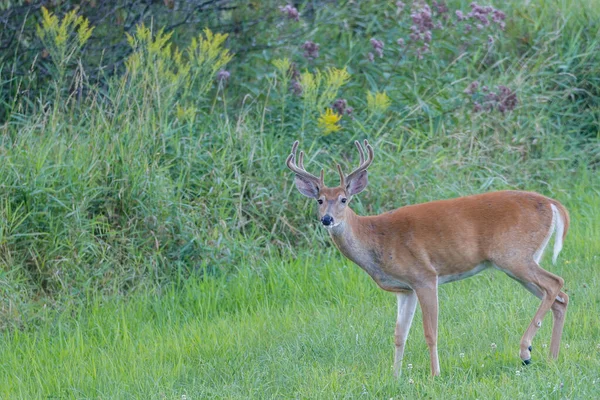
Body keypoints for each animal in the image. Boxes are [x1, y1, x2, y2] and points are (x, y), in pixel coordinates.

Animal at [288, 140, 568, 376]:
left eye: (344, 200)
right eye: (319, 200)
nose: (327, 219)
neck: (375, 238)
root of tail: (552, 203)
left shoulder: (424, 276)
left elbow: (430, 332)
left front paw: (435, 374)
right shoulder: (405, 289)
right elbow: (399, 334)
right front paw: (396, 377)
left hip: (514, 256)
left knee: (555, 283)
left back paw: (526, 351)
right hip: (517, 263)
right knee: (559, 297)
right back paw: (551, 358)